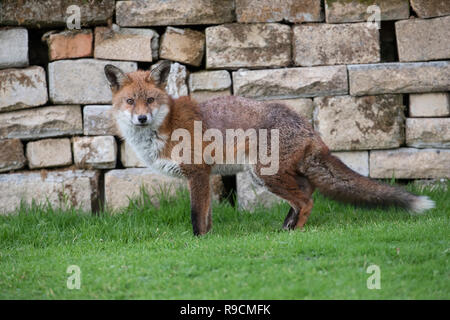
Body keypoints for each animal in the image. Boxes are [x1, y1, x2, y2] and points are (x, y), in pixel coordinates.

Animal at [103, 60, 434, 235]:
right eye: (130, 101)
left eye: (150, 100)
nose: (142, 118)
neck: (165, 126)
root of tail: (307, 124)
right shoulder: (205, 176)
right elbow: (208, 216)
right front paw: (208, 240)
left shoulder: (198, 173)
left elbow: (197, 216)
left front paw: (197, 242)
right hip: (266, 175)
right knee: (306, 192)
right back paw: (286, 227)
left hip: (266, 174)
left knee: (306, 200)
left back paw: (295, 232)